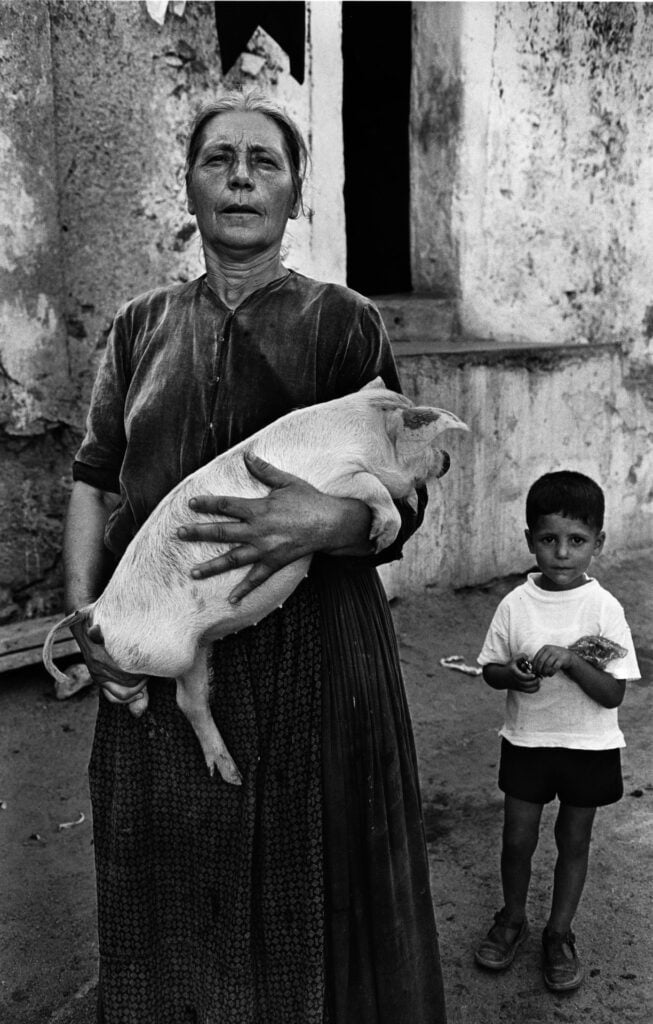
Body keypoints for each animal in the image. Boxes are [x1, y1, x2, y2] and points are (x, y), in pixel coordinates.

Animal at [43, 376, 468, 782]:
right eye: (430, 442)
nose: (448, 459)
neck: (365, 433)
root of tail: (99, 610)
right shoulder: (335, 480)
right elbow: (374, 486)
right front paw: (383, 534)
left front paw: (405, 507)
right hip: (165, 652)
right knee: (149, 684)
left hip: (195, 650)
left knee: (188, 702)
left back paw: (231, 775)